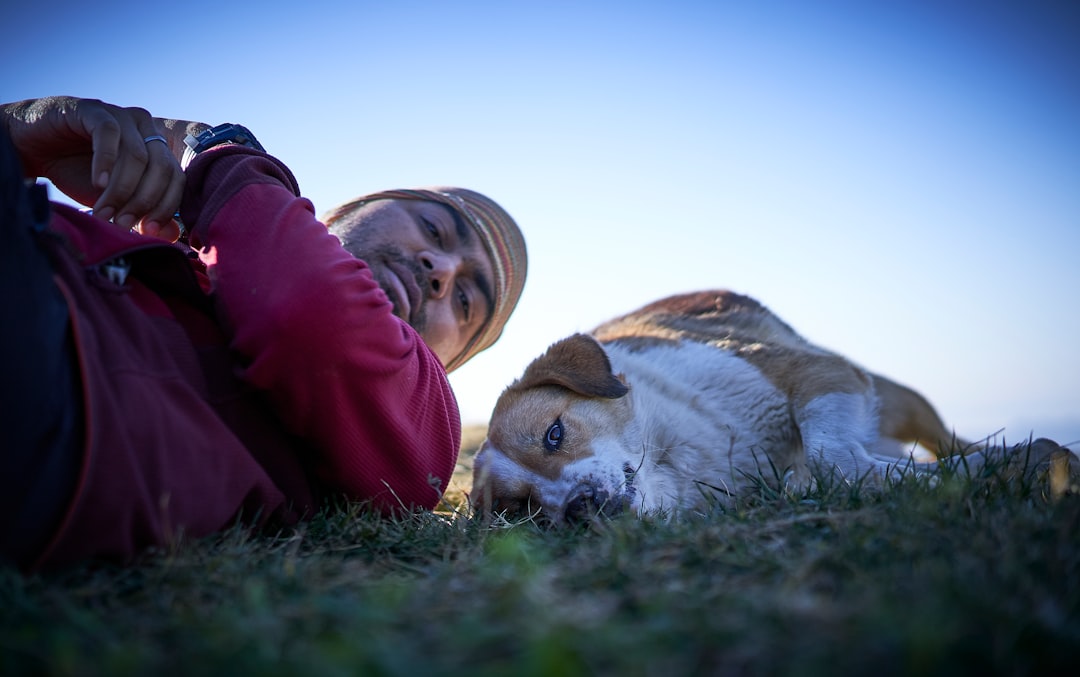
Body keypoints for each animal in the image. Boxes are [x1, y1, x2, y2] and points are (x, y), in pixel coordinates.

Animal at [475, 289, 1071, 522]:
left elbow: (832, 454)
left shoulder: (820, 376)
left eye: (554, 433)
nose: (577, 510)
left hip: (898, 398)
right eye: (522, 508)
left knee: (940, 437)